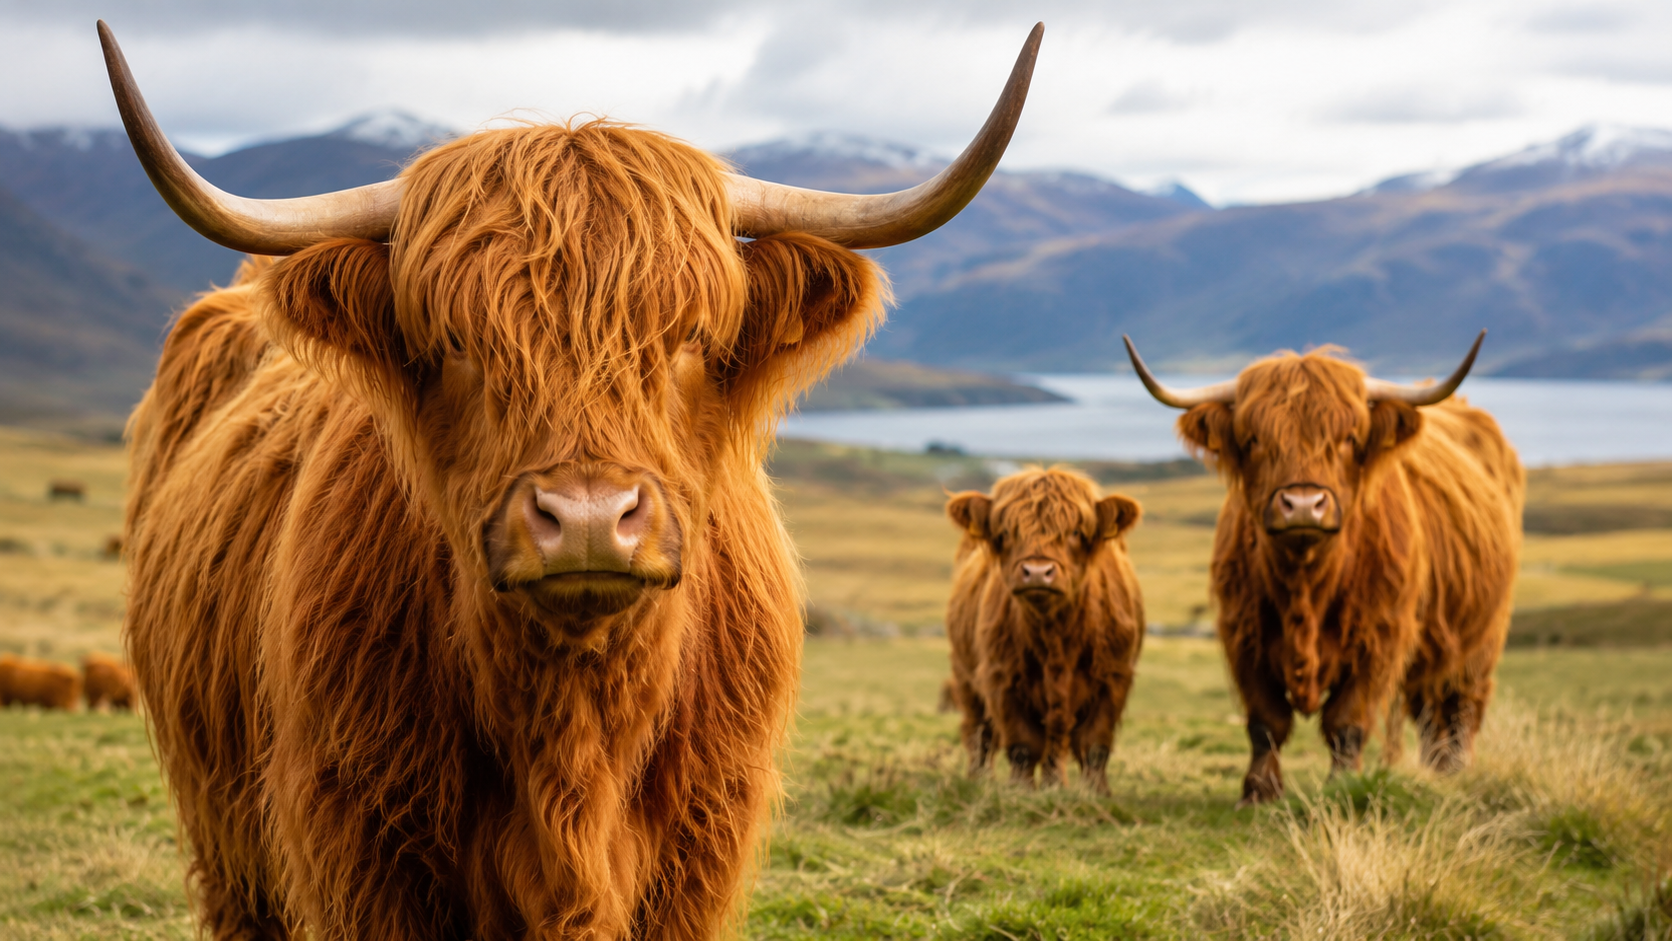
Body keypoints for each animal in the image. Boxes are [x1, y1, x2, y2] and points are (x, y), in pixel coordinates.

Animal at [101, 19, 1042, 941]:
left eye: (692, 337)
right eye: (456, 344)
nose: (589, 517)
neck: (574, 734)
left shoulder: (697, 853)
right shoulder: (359, 846)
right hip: (226, 839)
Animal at [942, 467, 1144, 795]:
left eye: (1075, 532)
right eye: (1006, 532)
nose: (1037, 572)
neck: (1055, 637)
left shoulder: (1114, 676)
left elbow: (1094, 744)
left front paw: (1095, 793)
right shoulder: (1001, 677)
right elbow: (1023, 745)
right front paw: (1021, 791)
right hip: (965, 674)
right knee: (980, 733)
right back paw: (979, 780)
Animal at [1125, 333, 1523, 806]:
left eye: (1349, 438)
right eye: (1253, 439)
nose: (1302, 505)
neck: (1306, 584)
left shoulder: (1379, 639)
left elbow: (1346, 723)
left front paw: (1342, 787)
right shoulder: (1243, 636)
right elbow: (1266, 722)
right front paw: (1258, 792)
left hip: (1481, 637)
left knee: (1462, 705)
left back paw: (1455, 771)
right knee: (1429, 711)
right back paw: (1437, 770)